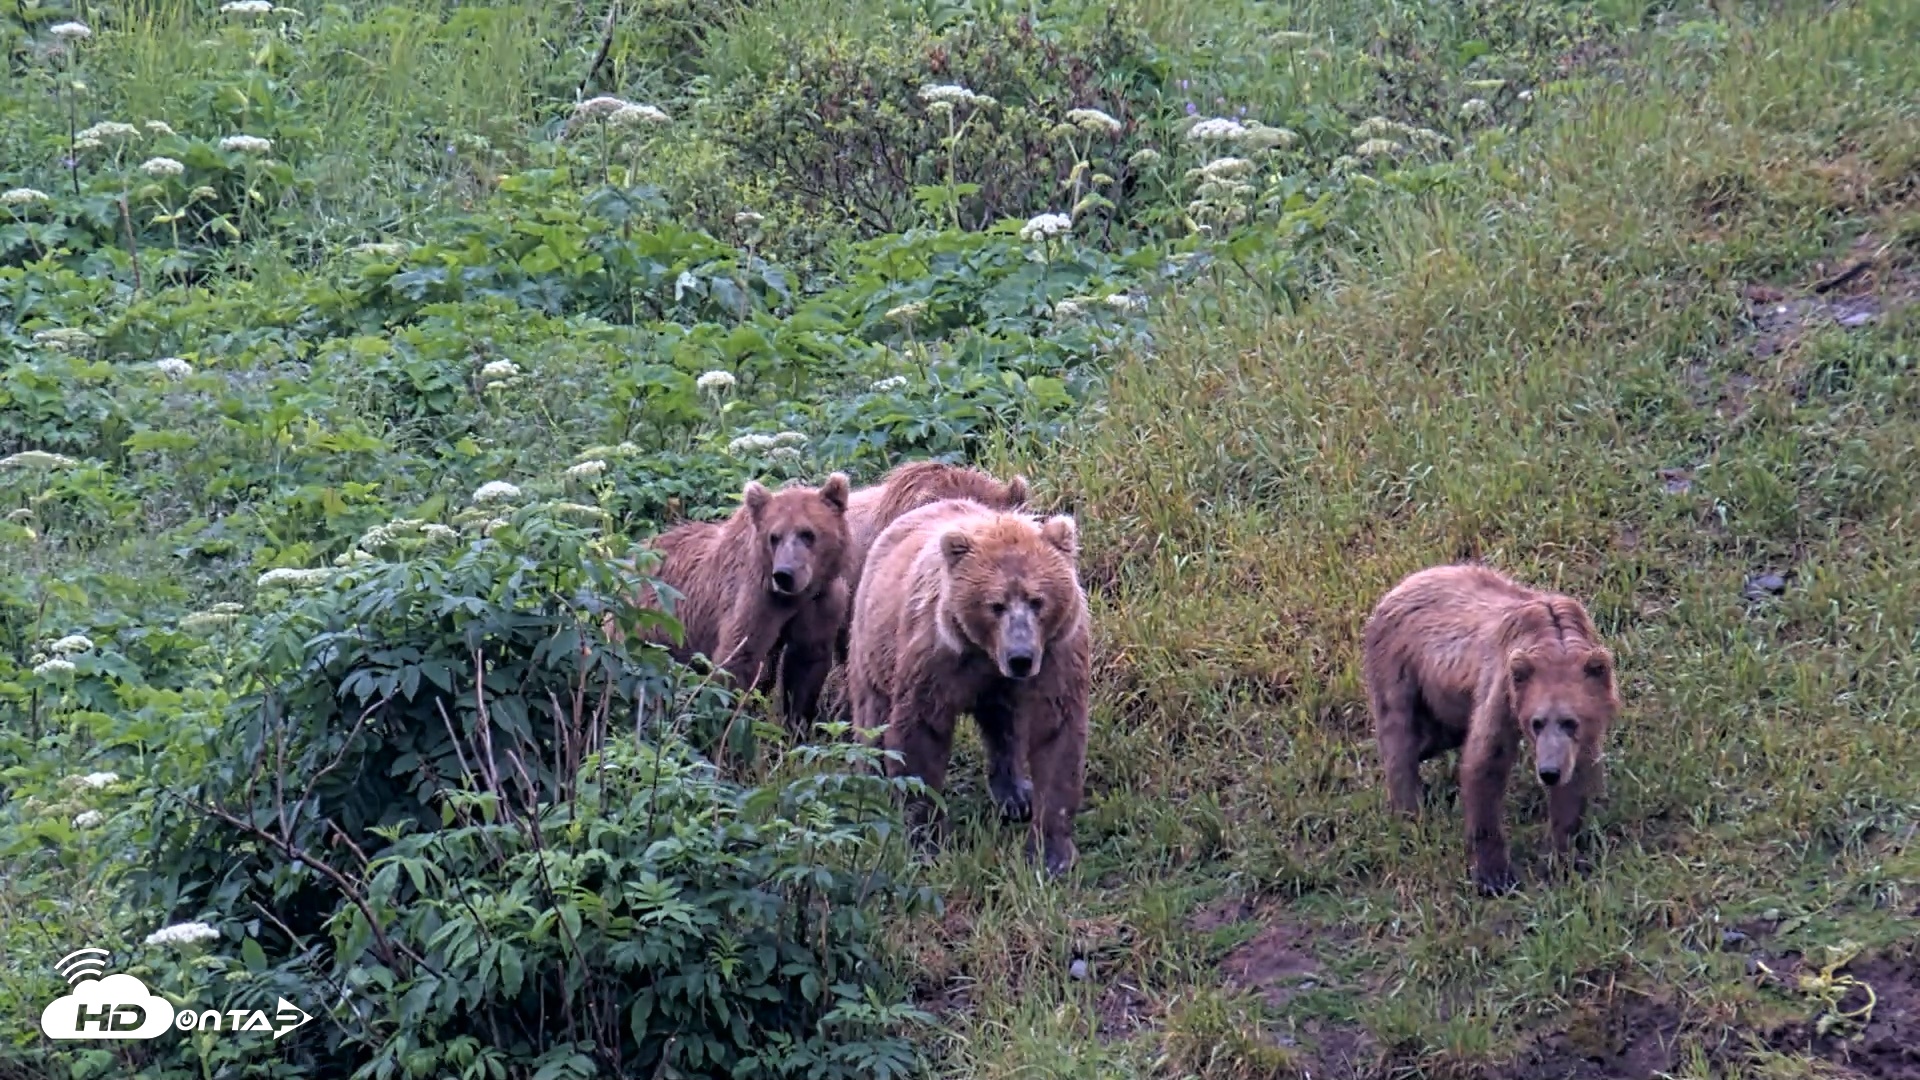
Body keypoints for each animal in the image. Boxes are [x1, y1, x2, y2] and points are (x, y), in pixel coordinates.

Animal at [617, 473, 852, 735]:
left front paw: (797, 727)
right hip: (644, 626)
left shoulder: (820, 602)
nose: (785, 574)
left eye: (807, 533)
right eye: (774, 536)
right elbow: (737, 660)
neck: (793, 598)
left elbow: (806, 663)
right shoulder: (754, 599)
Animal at [846, 497, 1092, 877]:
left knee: (1004, 727)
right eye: (996, 604)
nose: (1020, 658)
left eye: (1038, 600)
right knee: (871, 718)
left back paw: (1014, 793)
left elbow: (1056, 735)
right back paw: (872, 789)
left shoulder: (1055, 653)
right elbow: (920, 732)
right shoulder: (936, 657)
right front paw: (927, 840)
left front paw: (1051, 853)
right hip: (871, 643)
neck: (986, 651)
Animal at [1360, 563, 1620, 895]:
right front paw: (1494, 875)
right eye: (1537, 722)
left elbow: (1576, 779)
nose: (1548, 772)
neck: (1556, 643)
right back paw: (1410, 812)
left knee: (1434, 735)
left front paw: (1565, 857)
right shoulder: (1504, 686)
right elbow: (1486, 760)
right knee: (1399, 734)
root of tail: (1399, 586)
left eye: (1570, 721)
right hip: (1400, 664)